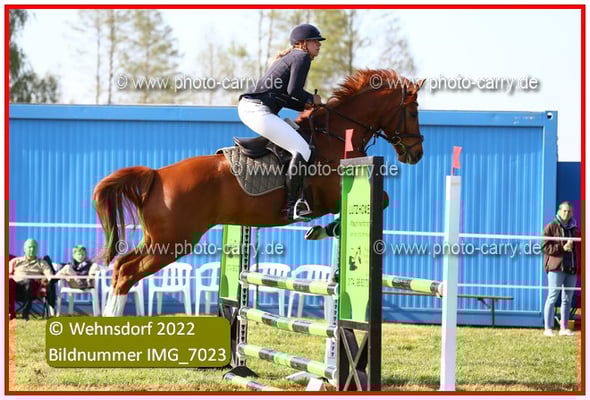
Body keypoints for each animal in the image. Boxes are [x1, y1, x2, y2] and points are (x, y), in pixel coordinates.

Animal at [93, 69, 425, 316]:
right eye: (412, 113)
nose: (417, 153)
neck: (336, 136)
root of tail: (156, 176)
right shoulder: (333, 194)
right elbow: (382, 200)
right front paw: (325, 228)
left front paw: (323, 230)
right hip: (173, 242)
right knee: (127, 272)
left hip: (159, 240)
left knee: (121, 266)